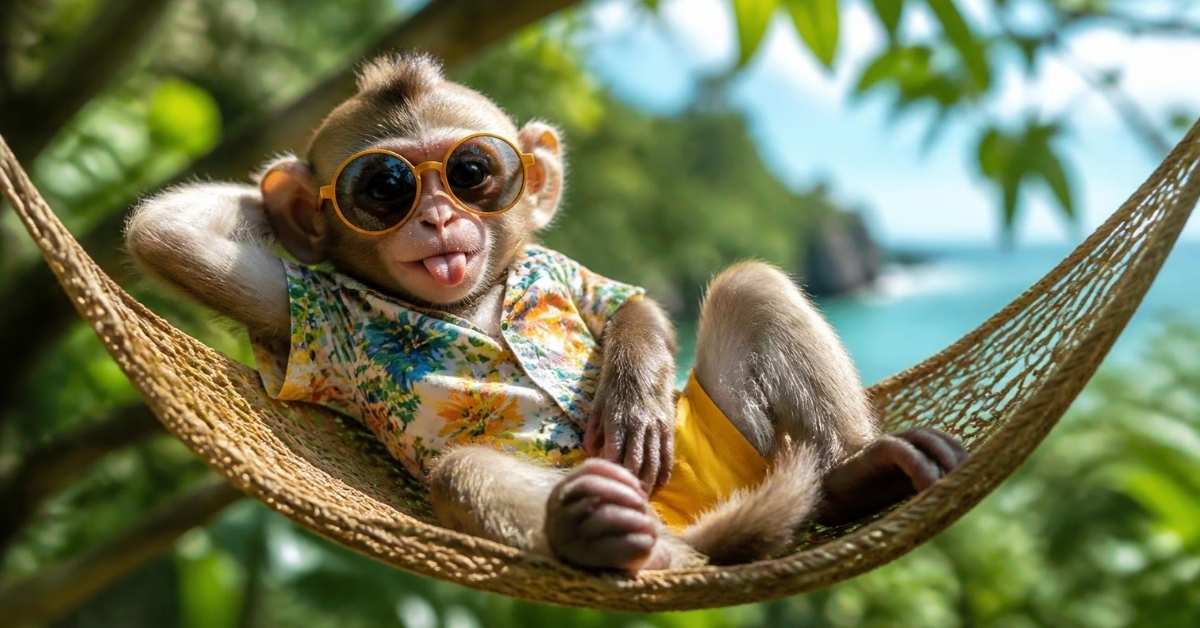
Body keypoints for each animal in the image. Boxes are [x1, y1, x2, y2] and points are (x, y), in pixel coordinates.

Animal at [125, 52, 967, 573]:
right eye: (382, 187)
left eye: (473, 171)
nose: (437, 215)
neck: (475, 299)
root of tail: (688, 527)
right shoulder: (311, 310)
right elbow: (168, 236)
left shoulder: (554, 269)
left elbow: (622, 300)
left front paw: (632, 390)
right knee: (468, 470)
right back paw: (597, 535)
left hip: (724, 447)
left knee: (751, 287)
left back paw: (861, 473)